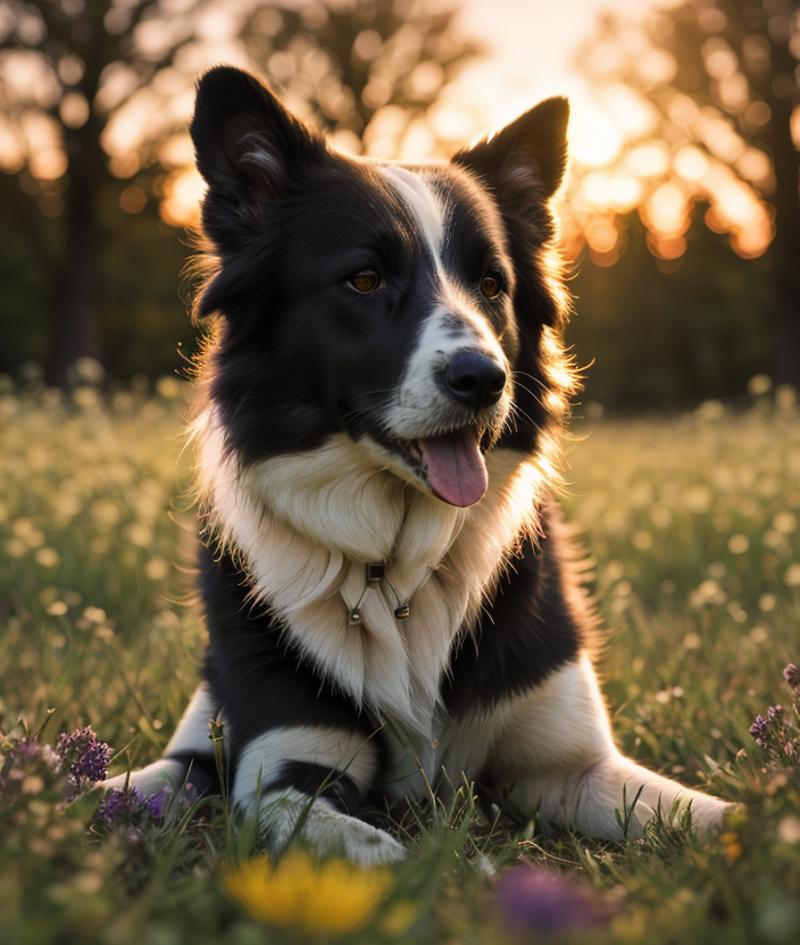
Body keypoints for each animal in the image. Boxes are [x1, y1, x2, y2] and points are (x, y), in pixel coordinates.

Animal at [104, 64, 732, 864]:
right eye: (365, 280)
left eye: (493, 286)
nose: (484, 379)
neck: (393, 567)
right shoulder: (282, 777)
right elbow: (384, 857)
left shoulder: (573, 764)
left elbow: (719, 818)